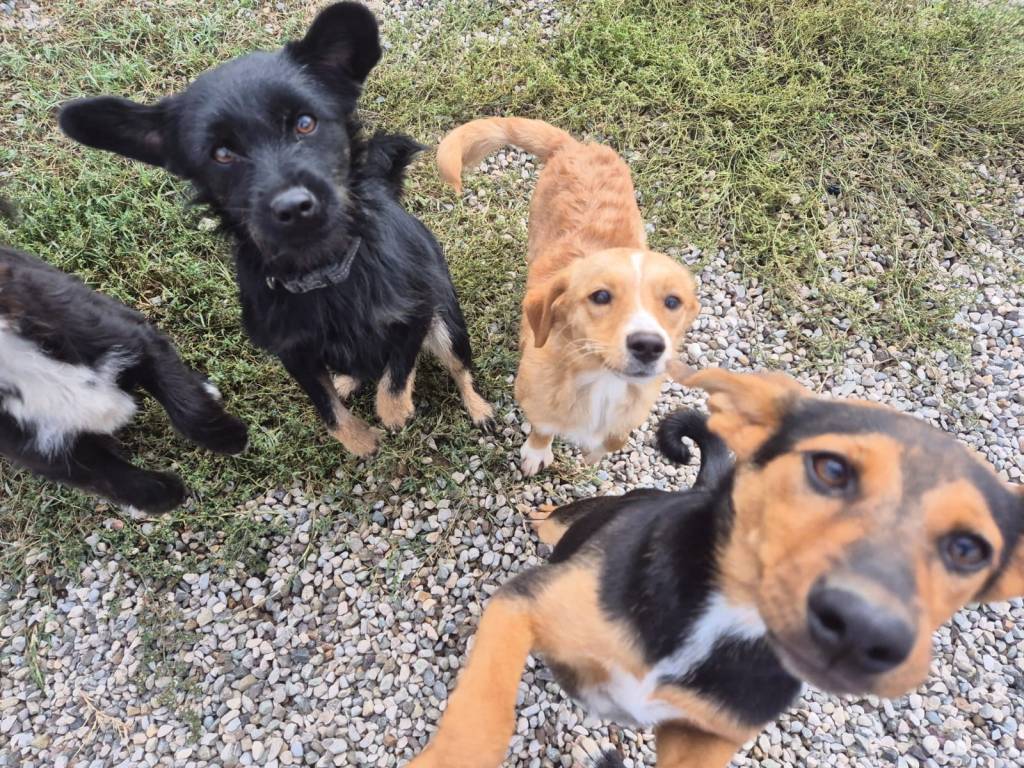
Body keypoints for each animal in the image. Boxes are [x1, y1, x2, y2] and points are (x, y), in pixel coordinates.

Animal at [0, 213, 248, 513]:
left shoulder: (131, 338)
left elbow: (187, 405)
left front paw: (231, 437)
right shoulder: (41, 447)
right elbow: (109, 477)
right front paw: (165, 496)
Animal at [58, 2, 493, 458]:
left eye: (305, 123)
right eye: (221, 153)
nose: (295, 207)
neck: (324, 273)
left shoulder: (416, 311)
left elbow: (397, 370)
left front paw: (394, 412)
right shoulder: (295, 354)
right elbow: (328, 409)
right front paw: (360, 441)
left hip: (448, 322)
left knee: (459, 367)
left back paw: (478, 408)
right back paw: (348, 380)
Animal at [405, 368, 1024, 768]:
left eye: (969, 549)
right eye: (830, 468)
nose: (861, 629)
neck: (718, 623)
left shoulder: (704, 737)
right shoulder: (525, 603)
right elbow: (483, 705)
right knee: (553, 523)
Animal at [437, 117, 699, 476]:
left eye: (672, 301)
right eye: (600, 296)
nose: (648, 345)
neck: (599, 380)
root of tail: (576, 147)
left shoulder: (636, 404)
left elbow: (616, 438)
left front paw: (594, 454)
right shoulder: (535, 397)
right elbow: (543, 427)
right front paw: (537, 452)